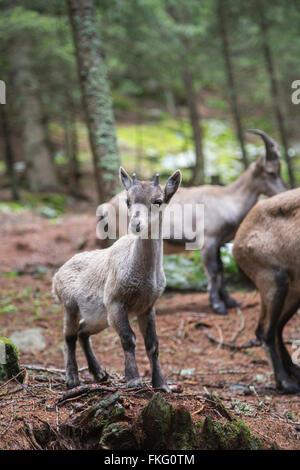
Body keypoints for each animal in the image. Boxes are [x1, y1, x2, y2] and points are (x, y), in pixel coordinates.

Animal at [233, 187, 300, 392]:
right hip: (274, 281)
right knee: (265, 332)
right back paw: (286, 382)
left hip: (293, 290)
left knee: (277, 328)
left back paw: (294, 372)